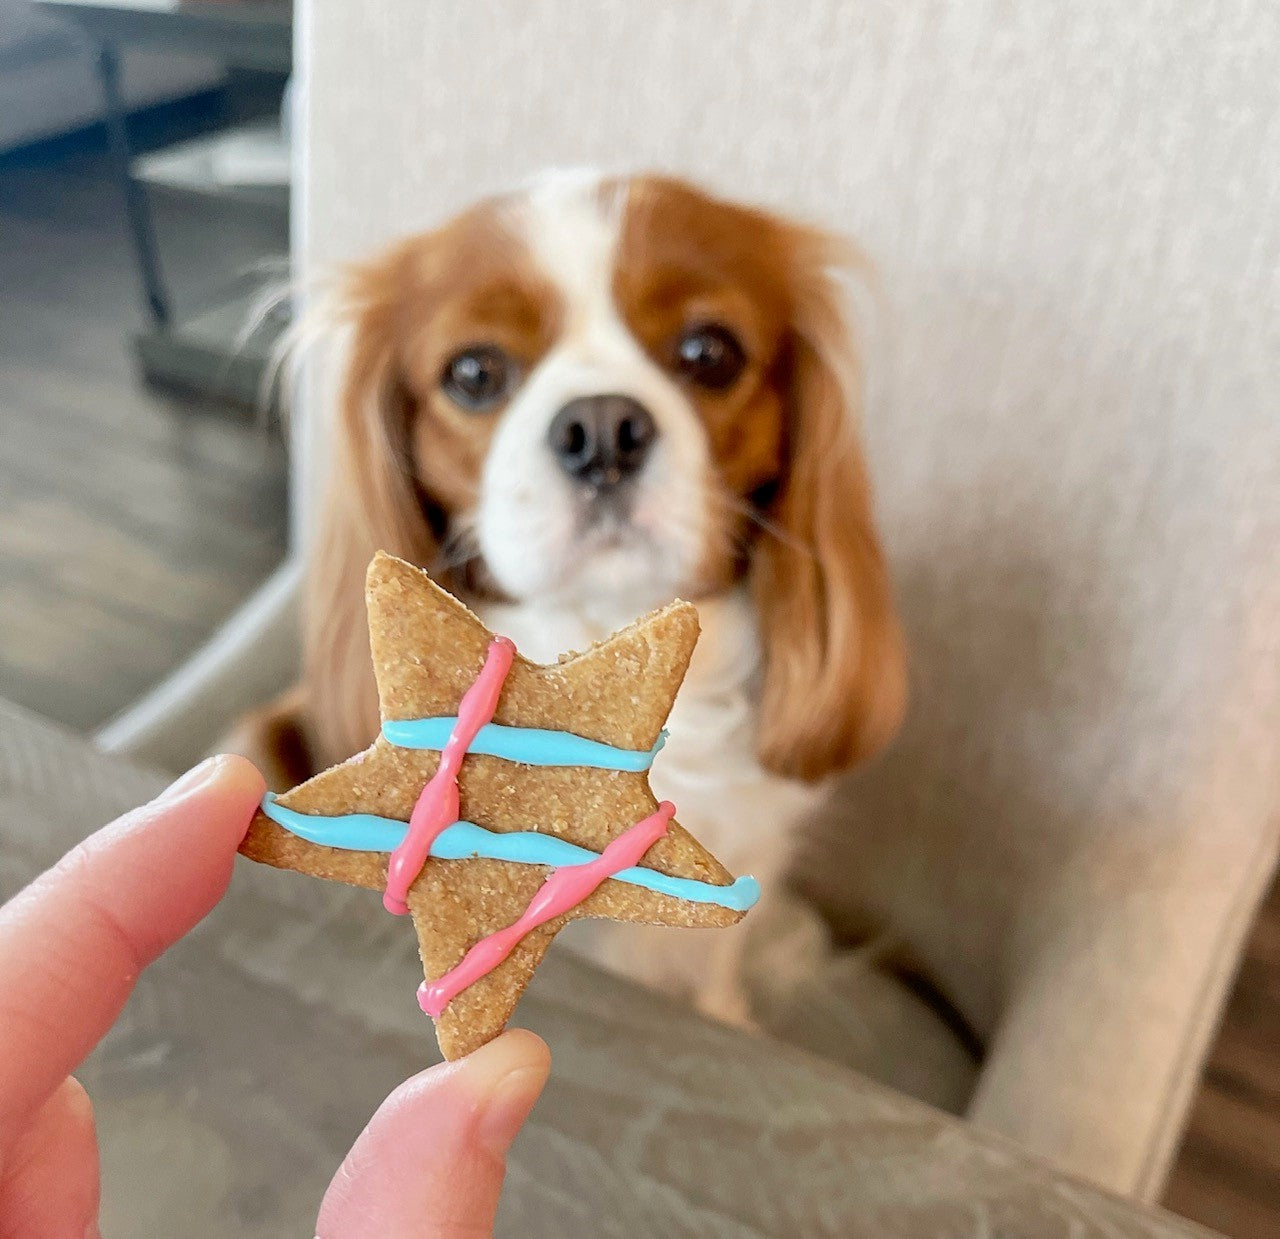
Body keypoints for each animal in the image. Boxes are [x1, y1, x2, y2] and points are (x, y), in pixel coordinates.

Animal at [238, 171, 901, 1023]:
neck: (599, 626)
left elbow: (717, 957)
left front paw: (726, 1014)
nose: (602, 426)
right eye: (475, 373)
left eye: (709, 354)